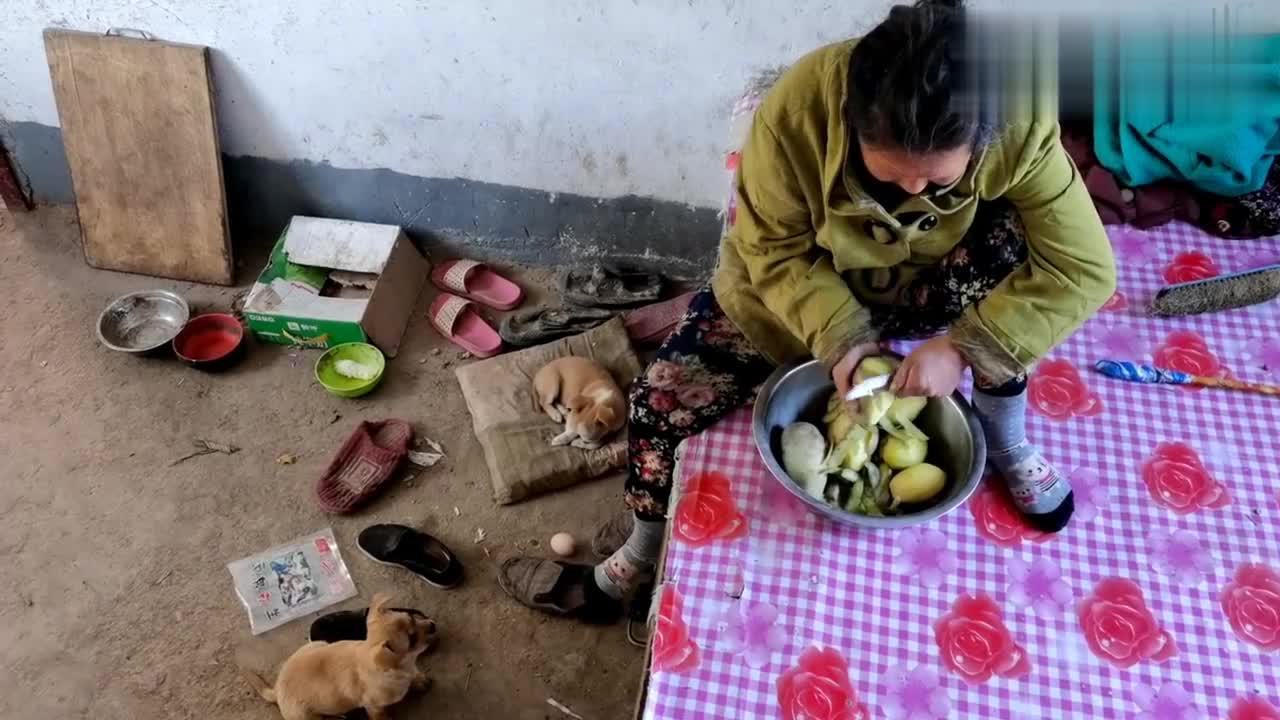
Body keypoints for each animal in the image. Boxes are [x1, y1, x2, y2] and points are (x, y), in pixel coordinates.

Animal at [244, 591, 435, 717]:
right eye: (412, 640)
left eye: (412, 617)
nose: (433, 626)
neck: (401, 667)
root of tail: (276, 690)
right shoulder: (374, 707)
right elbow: (381, 716)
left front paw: (418, 680)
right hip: (307, 717)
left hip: (319, 644)